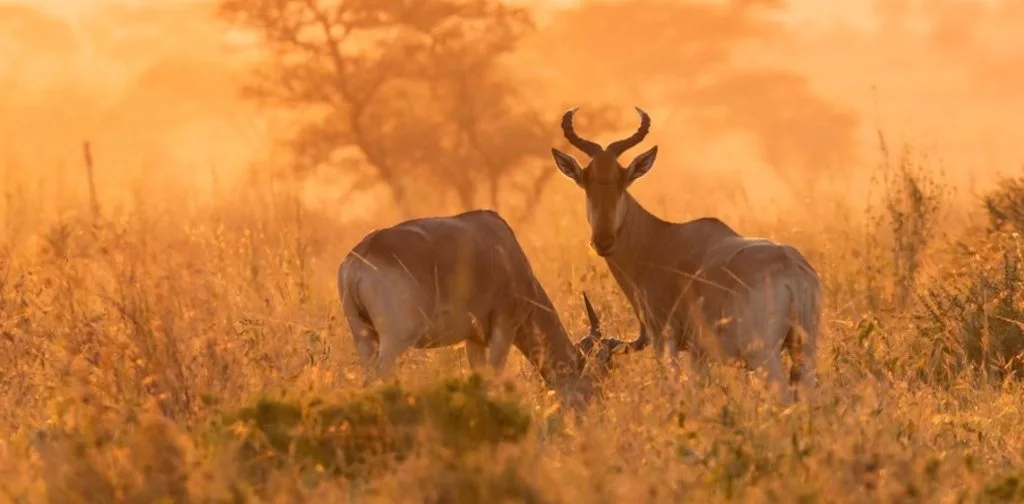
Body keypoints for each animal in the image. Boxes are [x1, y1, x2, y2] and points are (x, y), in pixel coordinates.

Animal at [337, 209, 631, 407]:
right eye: (599, 374)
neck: (503, 244)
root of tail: (363, 254)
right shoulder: (504, 328)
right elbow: (494, 376)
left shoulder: (474, 339)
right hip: (395, 340)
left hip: (363, 336)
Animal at [549, 107, 823, 402]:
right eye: (586, 182)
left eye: (622, 181)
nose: (603, 241)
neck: (661, 240)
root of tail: (792, 269)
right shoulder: (698, 352)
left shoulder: (664, 341)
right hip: (805, 349)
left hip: (763, 355)